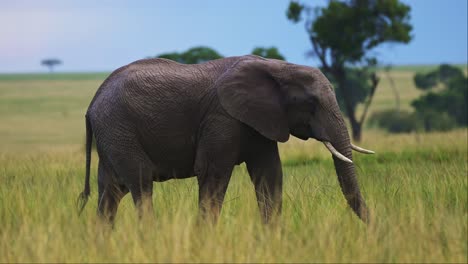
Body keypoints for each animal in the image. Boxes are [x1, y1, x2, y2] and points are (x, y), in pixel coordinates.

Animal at [78, 54, 374, 224]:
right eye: (311, 103)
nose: (374, 231)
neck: (277, 66)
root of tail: (91, 103)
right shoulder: (222, 118)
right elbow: (212, 172)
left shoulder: (260, 120)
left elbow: (270, 174)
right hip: (119, 128)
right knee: (140, 184)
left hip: (113, 134)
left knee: (111, 191)